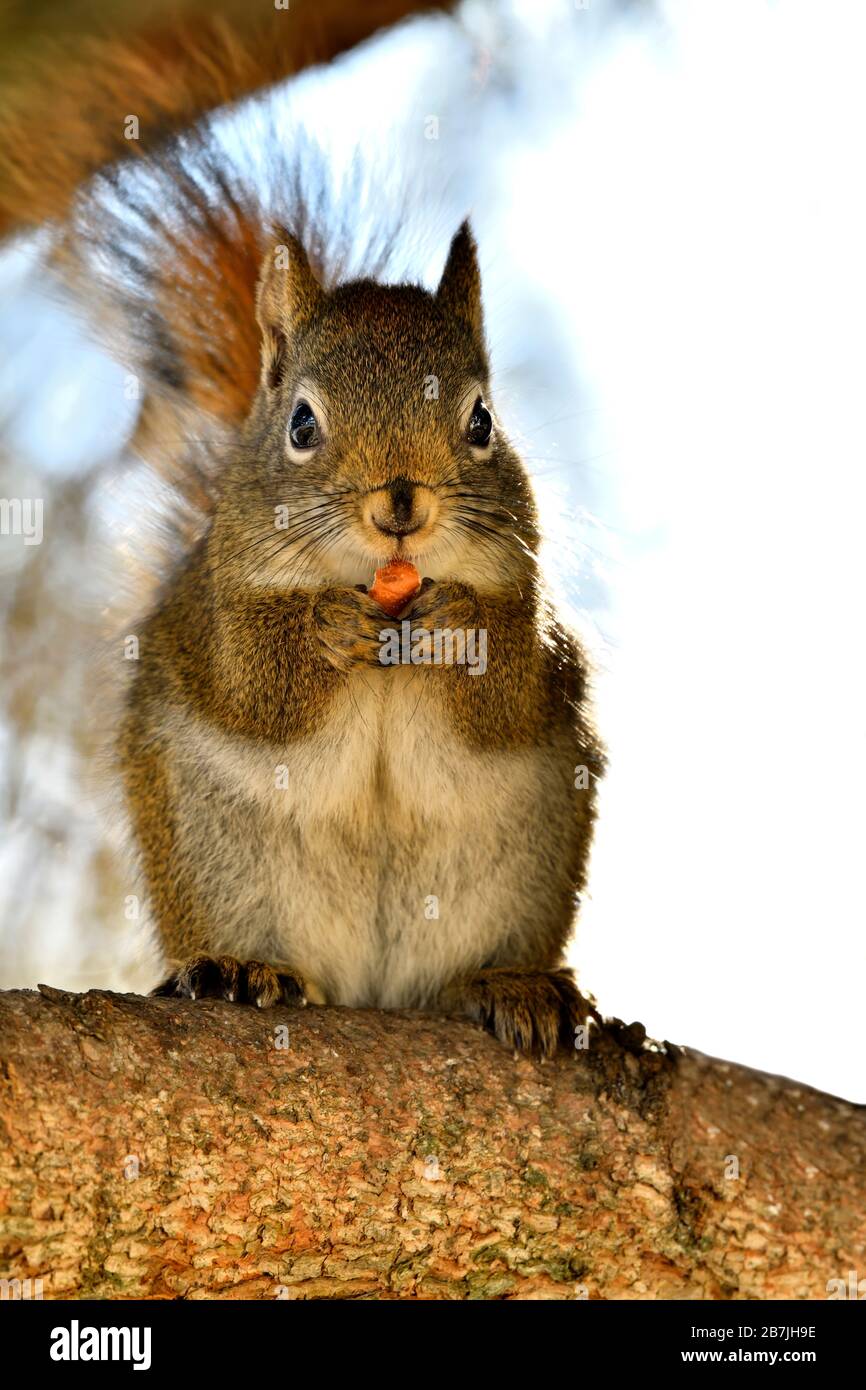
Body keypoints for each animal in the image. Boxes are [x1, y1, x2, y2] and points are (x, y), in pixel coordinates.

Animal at [67, 132, 606, 1061]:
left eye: (482, 422)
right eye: (302, 424)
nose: (400, 504)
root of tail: (374, 991)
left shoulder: (536, 624)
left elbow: (506, 695)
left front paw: (459, 622)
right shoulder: (213, 615)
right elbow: (257, 687)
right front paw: (326, 627)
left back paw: (511, 984)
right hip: (218, 862)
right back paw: (244, 970)